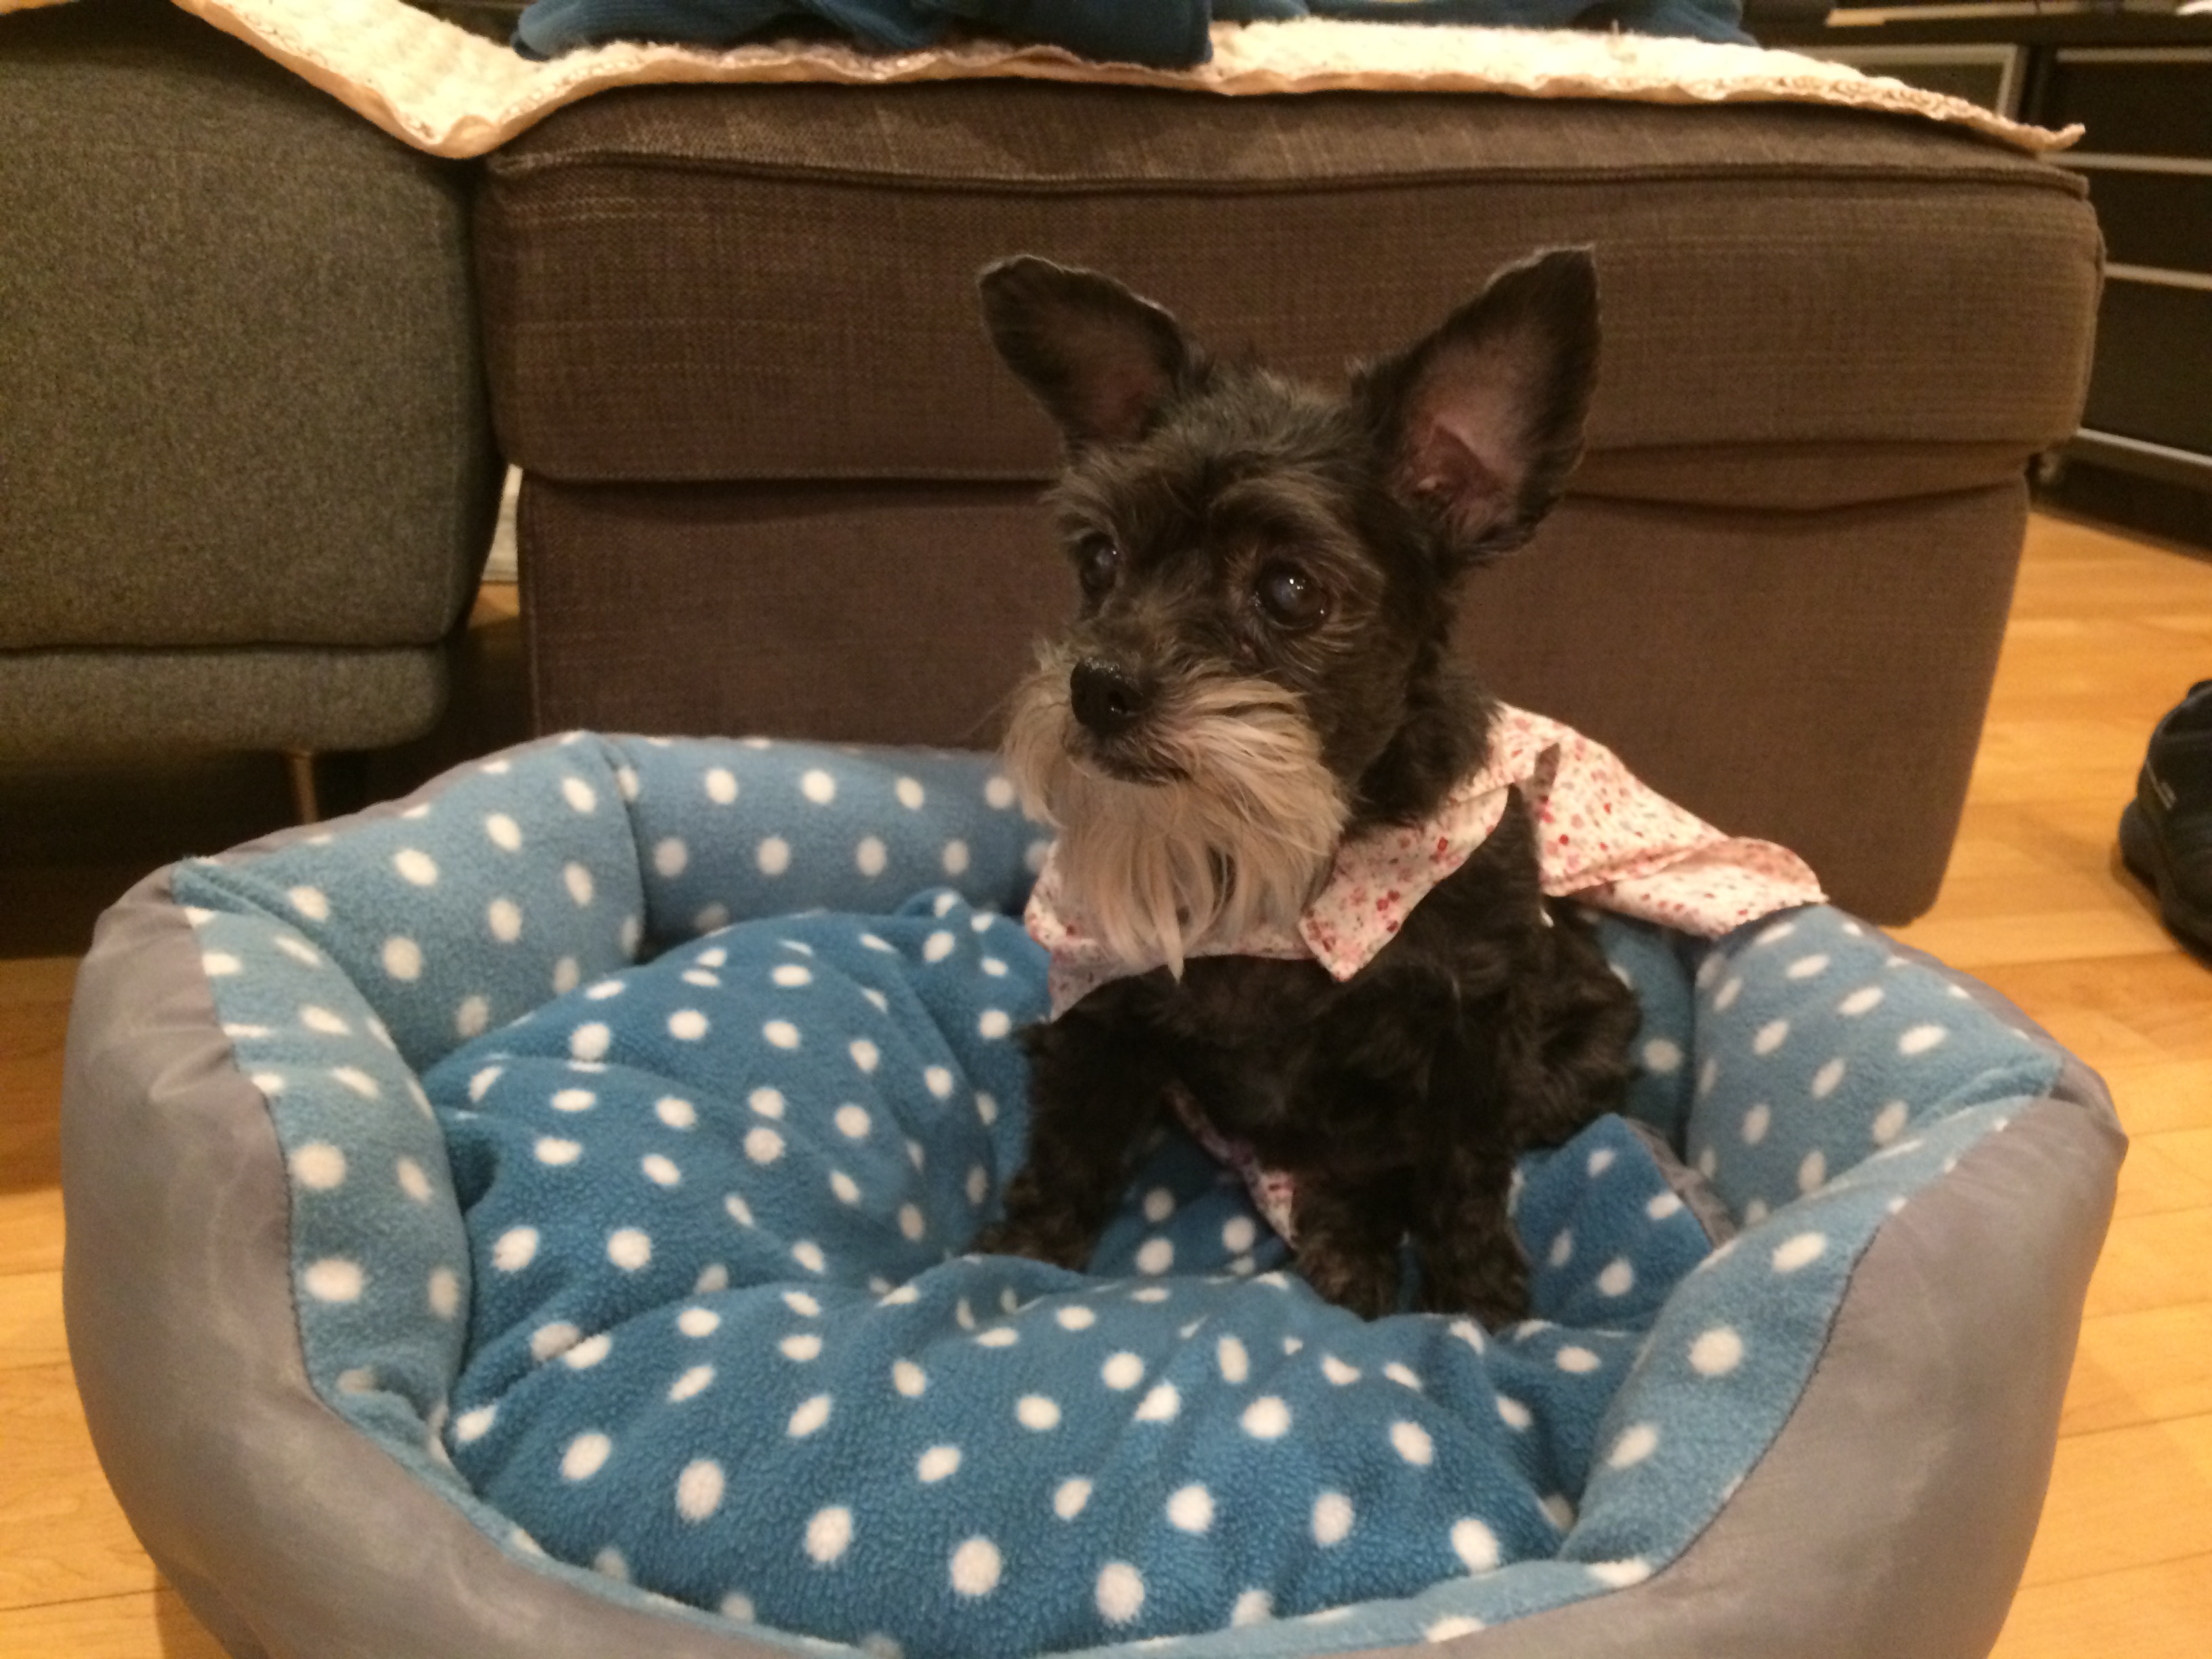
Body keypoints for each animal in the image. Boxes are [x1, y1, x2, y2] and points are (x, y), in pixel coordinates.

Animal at [971, 248, 1640, 1325]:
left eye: (1290, 590)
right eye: (1099, 557)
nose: (1098, 685)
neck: (1285, 868)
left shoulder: (1478, 1032)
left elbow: (1460, 1172)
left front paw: (1478, 1304)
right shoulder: (1101, 1001)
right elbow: (1070, 1137)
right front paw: (1016, 1260)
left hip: (1581, 1053)